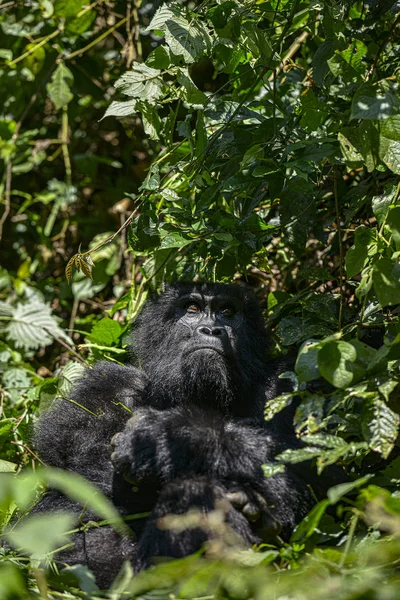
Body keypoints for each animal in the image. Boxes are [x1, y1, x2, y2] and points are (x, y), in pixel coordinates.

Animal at [33, 282, 324, 584]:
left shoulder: (285, 384)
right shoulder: (103, 389)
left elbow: (313, 468)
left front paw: (172, 439)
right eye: (192, 308)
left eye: (227, 312)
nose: (211, 330)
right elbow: (74, 501)